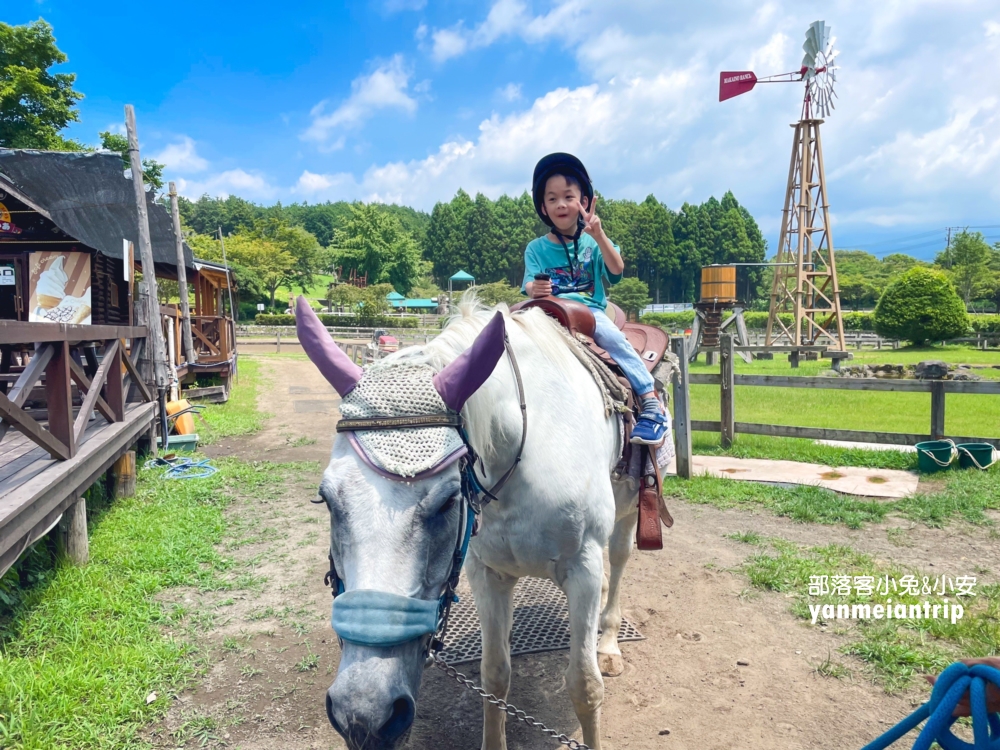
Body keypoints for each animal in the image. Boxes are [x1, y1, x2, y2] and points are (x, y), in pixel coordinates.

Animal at [298, 296, 648, 750]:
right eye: (326, 499)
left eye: (449, 501)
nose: (364, 714)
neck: (526, 449)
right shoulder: (487, 572)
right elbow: (494, 675)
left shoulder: (582, 568)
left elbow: (584, 686)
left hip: (630, 505)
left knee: (619, 560)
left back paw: (607, 644)